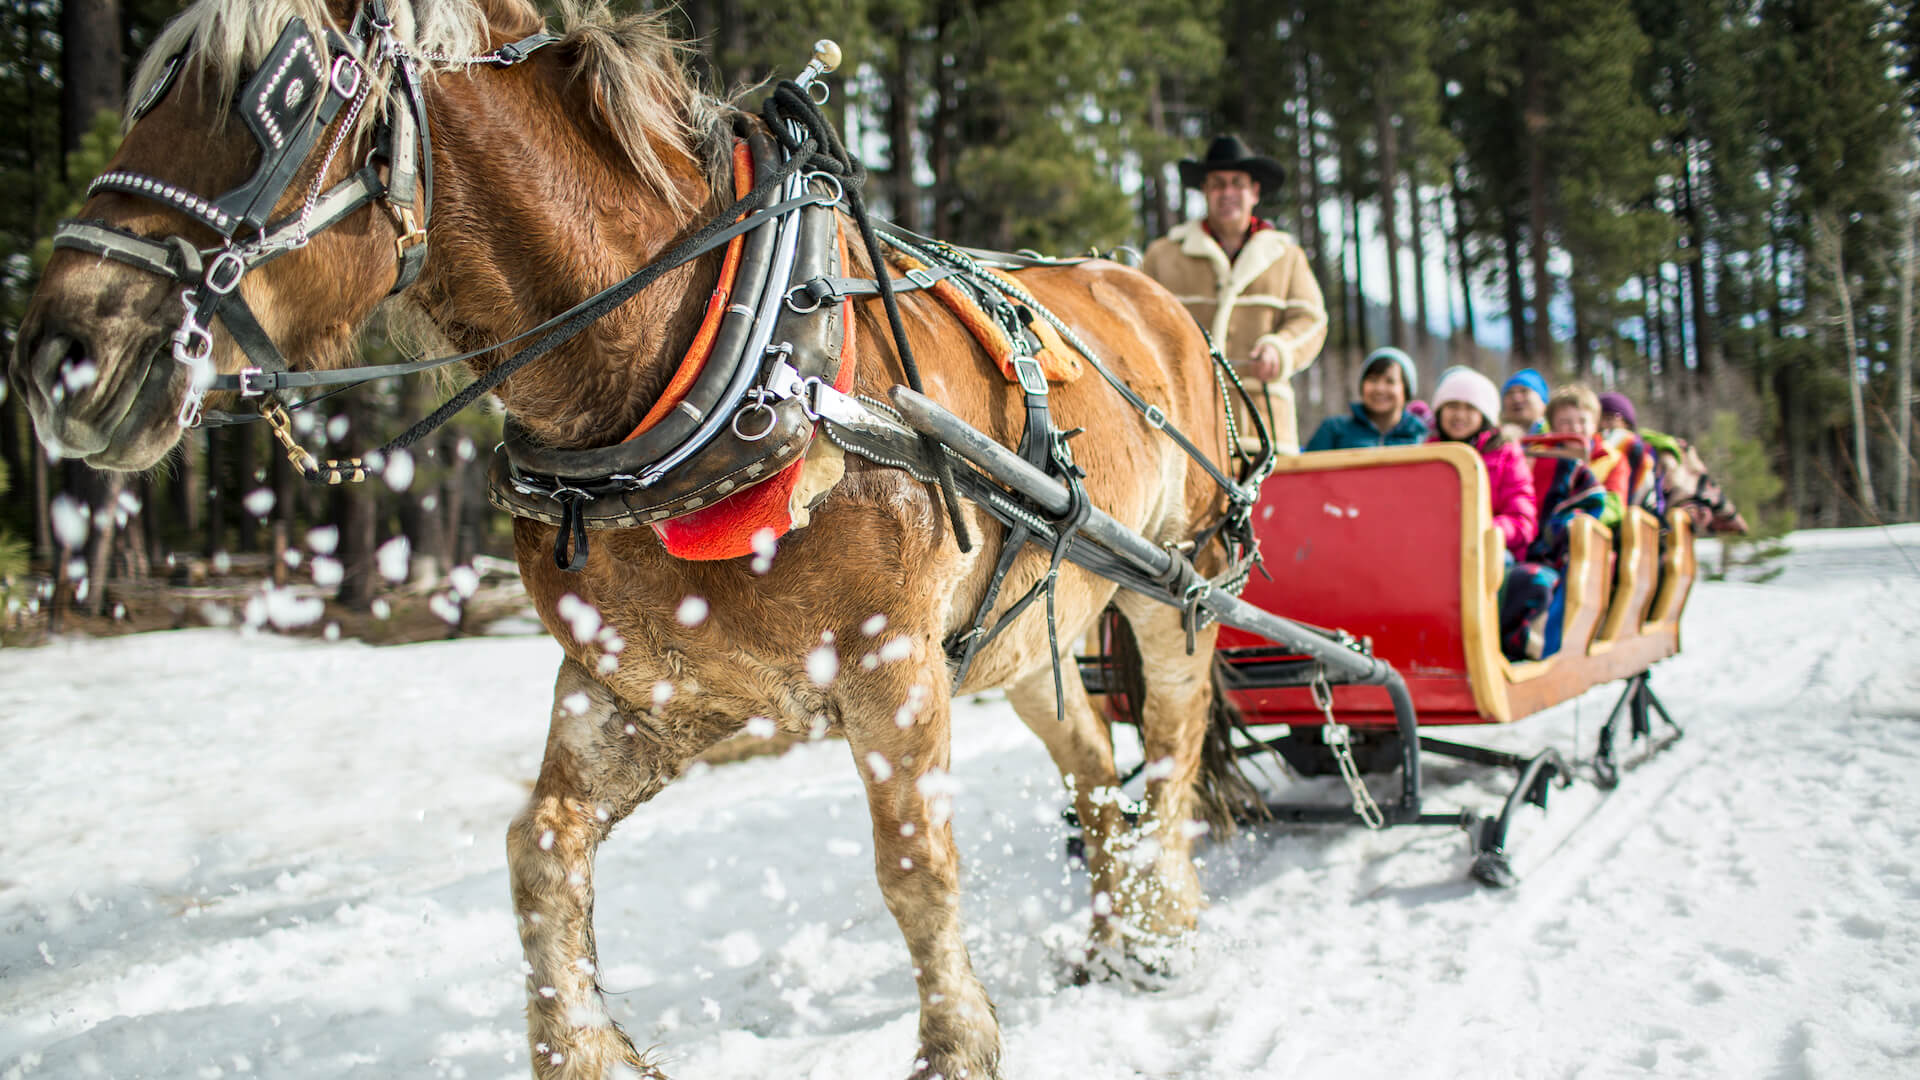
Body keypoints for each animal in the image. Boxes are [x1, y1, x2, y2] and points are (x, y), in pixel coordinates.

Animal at [11, 4, 1244, 1068]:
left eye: (284, 91)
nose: (59, 354)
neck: (696, 355)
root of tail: (1163, 302)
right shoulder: (646, 685)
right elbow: (542, 850)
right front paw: (586, 1051)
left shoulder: (892, 666)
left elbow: (914, 867)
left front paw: (958, 1049)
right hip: (1022, 636)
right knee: (1094, 766)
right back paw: (1113, 939)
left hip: (1176, 588)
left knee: (1171, 751)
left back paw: (1169, 921)